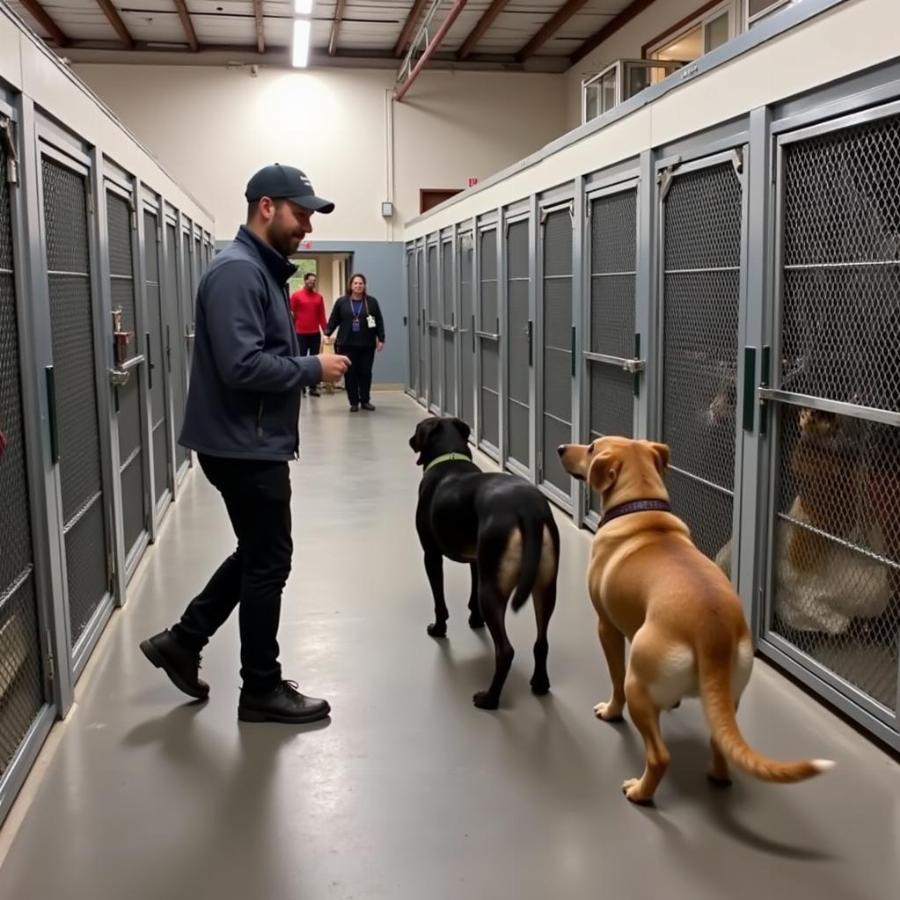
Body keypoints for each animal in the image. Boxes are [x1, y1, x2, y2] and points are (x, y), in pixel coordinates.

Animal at [410, 416, 564, 712]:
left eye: (417, 430)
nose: (411, 440)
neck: (449, 458)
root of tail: (527, 509)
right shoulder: (477, 561)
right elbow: (471, 594)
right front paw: (475, 619)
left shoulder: (430, 555)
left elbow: (439, 601)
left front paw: (439, 628)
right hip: (545, 587)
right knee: (542, 642)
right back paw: (540, 683)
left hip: (493, 589)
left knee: (505, 651)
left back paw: (489, 698)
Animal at [560, 434, 832, 800]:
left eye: (591, 449)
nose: (561, 449)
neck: (642, 509)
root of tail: (712, 631)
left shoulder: (607, 628)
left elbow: (614, 678)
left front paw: (610, 710)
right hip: (729, 696)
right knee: (720, 742)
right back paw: (717, 775)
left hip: (638, 685)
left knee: (659, 755)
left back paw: (640, 792)